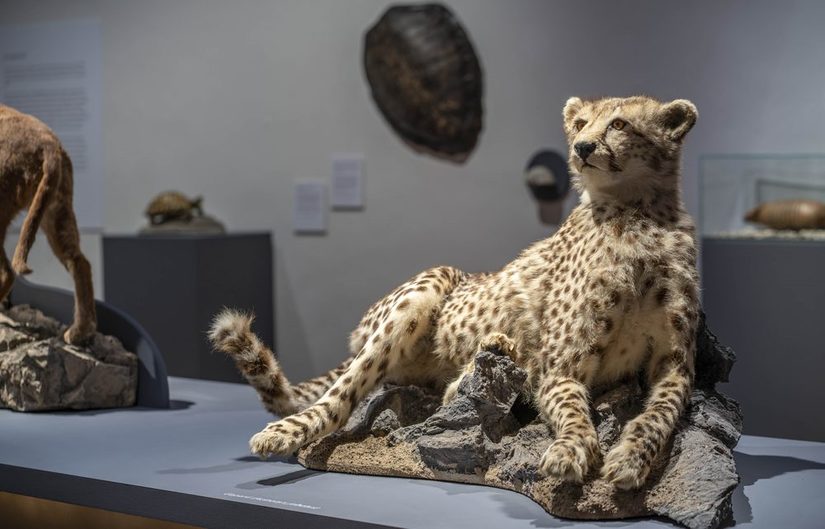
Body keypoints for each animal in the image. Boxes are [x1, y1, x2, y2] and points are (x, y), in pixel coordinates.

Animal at [209, 95, 700, 490]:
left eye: (618, 123)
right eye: (580, 123)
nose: (582, 148)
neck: (636, 213)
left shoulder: (674, 364)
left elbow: (660, 413)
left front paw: (630, 460)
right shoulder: (562, 363)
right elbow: (573, 407)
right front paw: (571, 450)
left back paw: (489, 355)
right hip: (429, 284)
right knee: (342, 395)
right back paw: (282, 434)